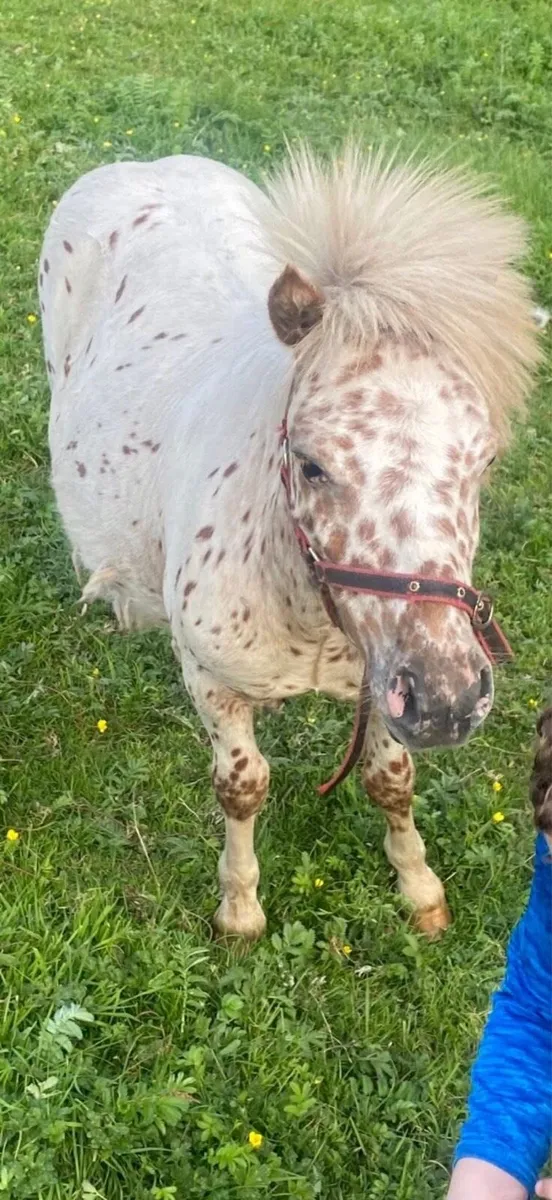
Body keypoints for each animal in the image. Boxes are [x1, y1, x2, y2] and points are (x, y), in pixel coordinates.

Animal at [41, 144, 540, 940]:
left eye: (485, 461)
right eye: (310, 464)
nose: (447, 699)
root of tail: (147, 161)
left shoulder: (379, 683)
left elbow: (391, 779)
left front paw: (420, 890)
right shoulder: (210, 681)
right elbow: (243, 786)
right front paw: (240, 909)